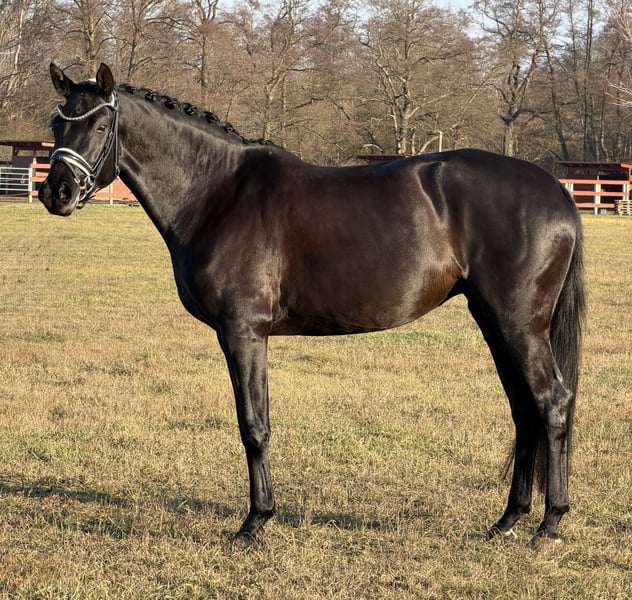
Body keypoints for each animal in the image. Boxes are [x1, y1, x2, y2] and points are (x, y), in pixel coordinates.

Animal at [39, 63, 585, 549]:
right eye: (56, 123)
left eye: (101, 125)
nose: (55, 192)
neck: (217, 192)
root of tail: (556, 192)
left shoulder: (243, 331)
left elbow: (253, 425)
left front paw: (255, 523)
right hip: (495, 322)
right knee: (524, 410)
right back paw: (508, 521)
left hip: (520, 326)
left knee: (552, 403)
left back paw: (548, 526)